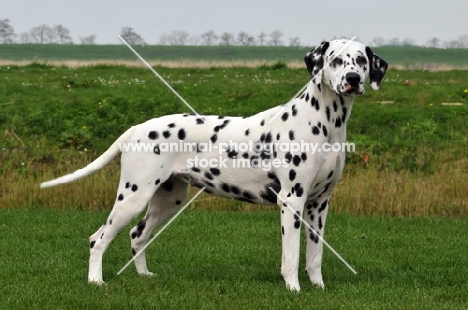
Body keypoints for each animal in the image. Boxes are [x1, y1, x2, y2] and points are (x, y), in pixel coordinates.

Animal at [41, 38, 388, 290]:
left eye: (361, 60)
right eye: (335, 60)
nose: (353, 79)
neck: (325, 122)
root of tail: (137, 128)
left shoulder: (319, 204)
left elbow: (314, 256)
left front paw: (318, 288)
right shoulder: (292, 201)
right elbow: (290, 257)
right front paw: (293, 289)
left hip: (167, 200)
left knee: (137, 236)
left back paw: (143, 276)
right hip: (133, 196)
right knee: (98, 239)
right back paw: (95, 281)